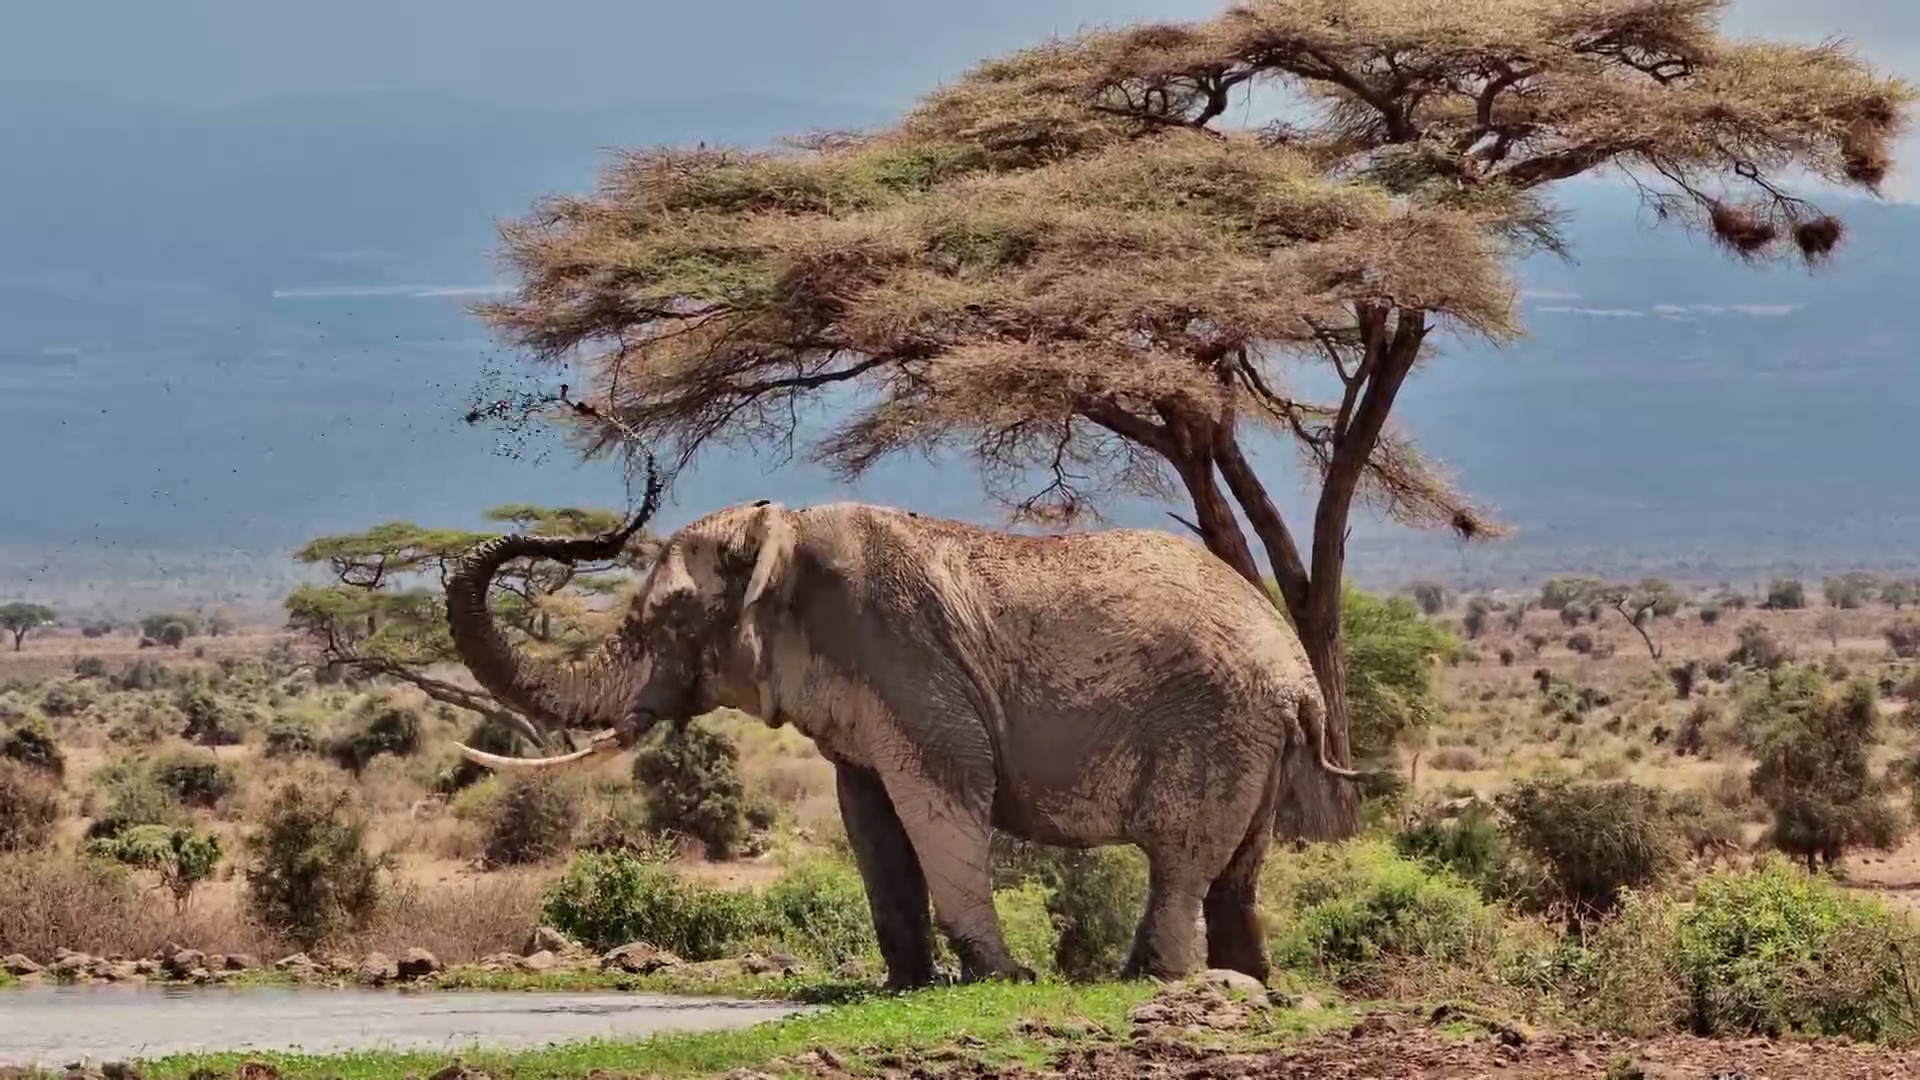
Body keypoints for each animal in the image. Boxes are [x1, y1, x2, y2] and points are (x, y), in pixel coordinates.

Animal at [444, 496, 1355, 987]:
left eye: (667, 618)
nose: (599, 528)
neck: (783, 532)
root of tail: (1300, 676)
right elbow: (871, 818)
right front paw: (907, 984)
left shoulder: (906, 658)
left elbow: (943, 794)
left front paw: (1004, 980)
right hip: (1256, 736)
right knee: (1238, 867)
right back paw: (1244, 981)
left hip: (1214, 723)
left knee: (1180, 856)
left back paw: (1147, 981)